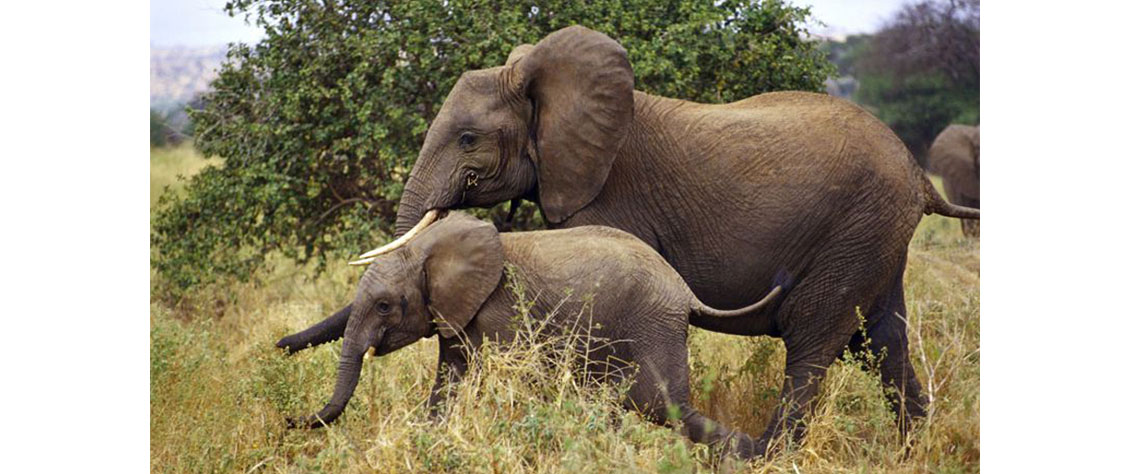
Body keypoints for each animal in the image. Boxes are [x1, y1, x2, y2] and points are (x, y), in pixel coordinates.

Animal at [286, 212, 786, 459]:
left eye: (385, 306)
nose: (292, 422)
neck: (430, 247)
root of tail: (683, 289)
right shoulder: (458, 316)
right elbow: (448, 385)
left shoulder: (498, 312)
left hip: (651, 326)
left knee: (663, 406)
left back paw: (753, 454)